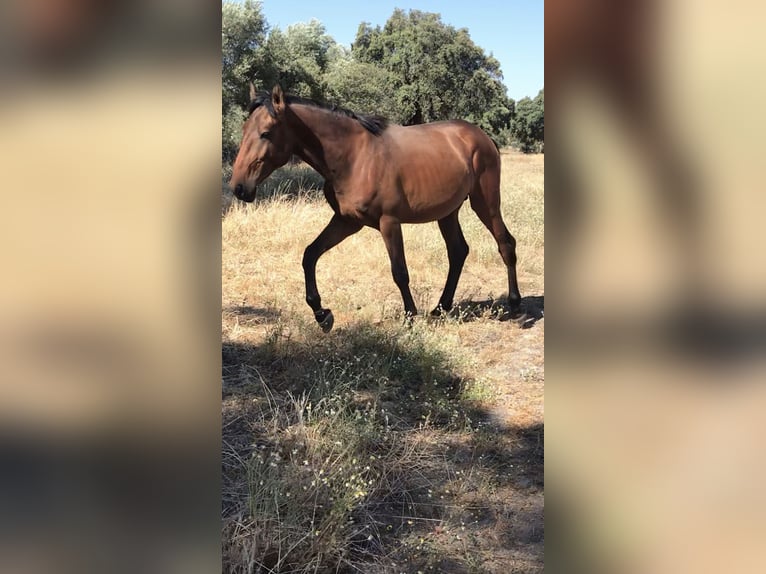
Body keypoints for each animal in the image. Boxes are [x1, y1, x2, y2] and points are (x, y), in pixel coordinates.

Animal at [228, 82, 520, 330]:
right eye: (243, 131)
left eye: (266, 133)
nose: (239, 187)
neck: (355, 157)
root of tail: (482, 137)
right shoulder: (347, 221)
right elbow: (310, 254)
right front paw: (322, 314)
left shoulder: (388, 222)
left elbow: (399, 272)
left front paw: (410, 318)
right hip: (448, 212)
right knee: (458, 252)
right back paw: (440, 308)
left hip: (485, 202)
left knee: (505, 243)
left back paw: (515, 305)